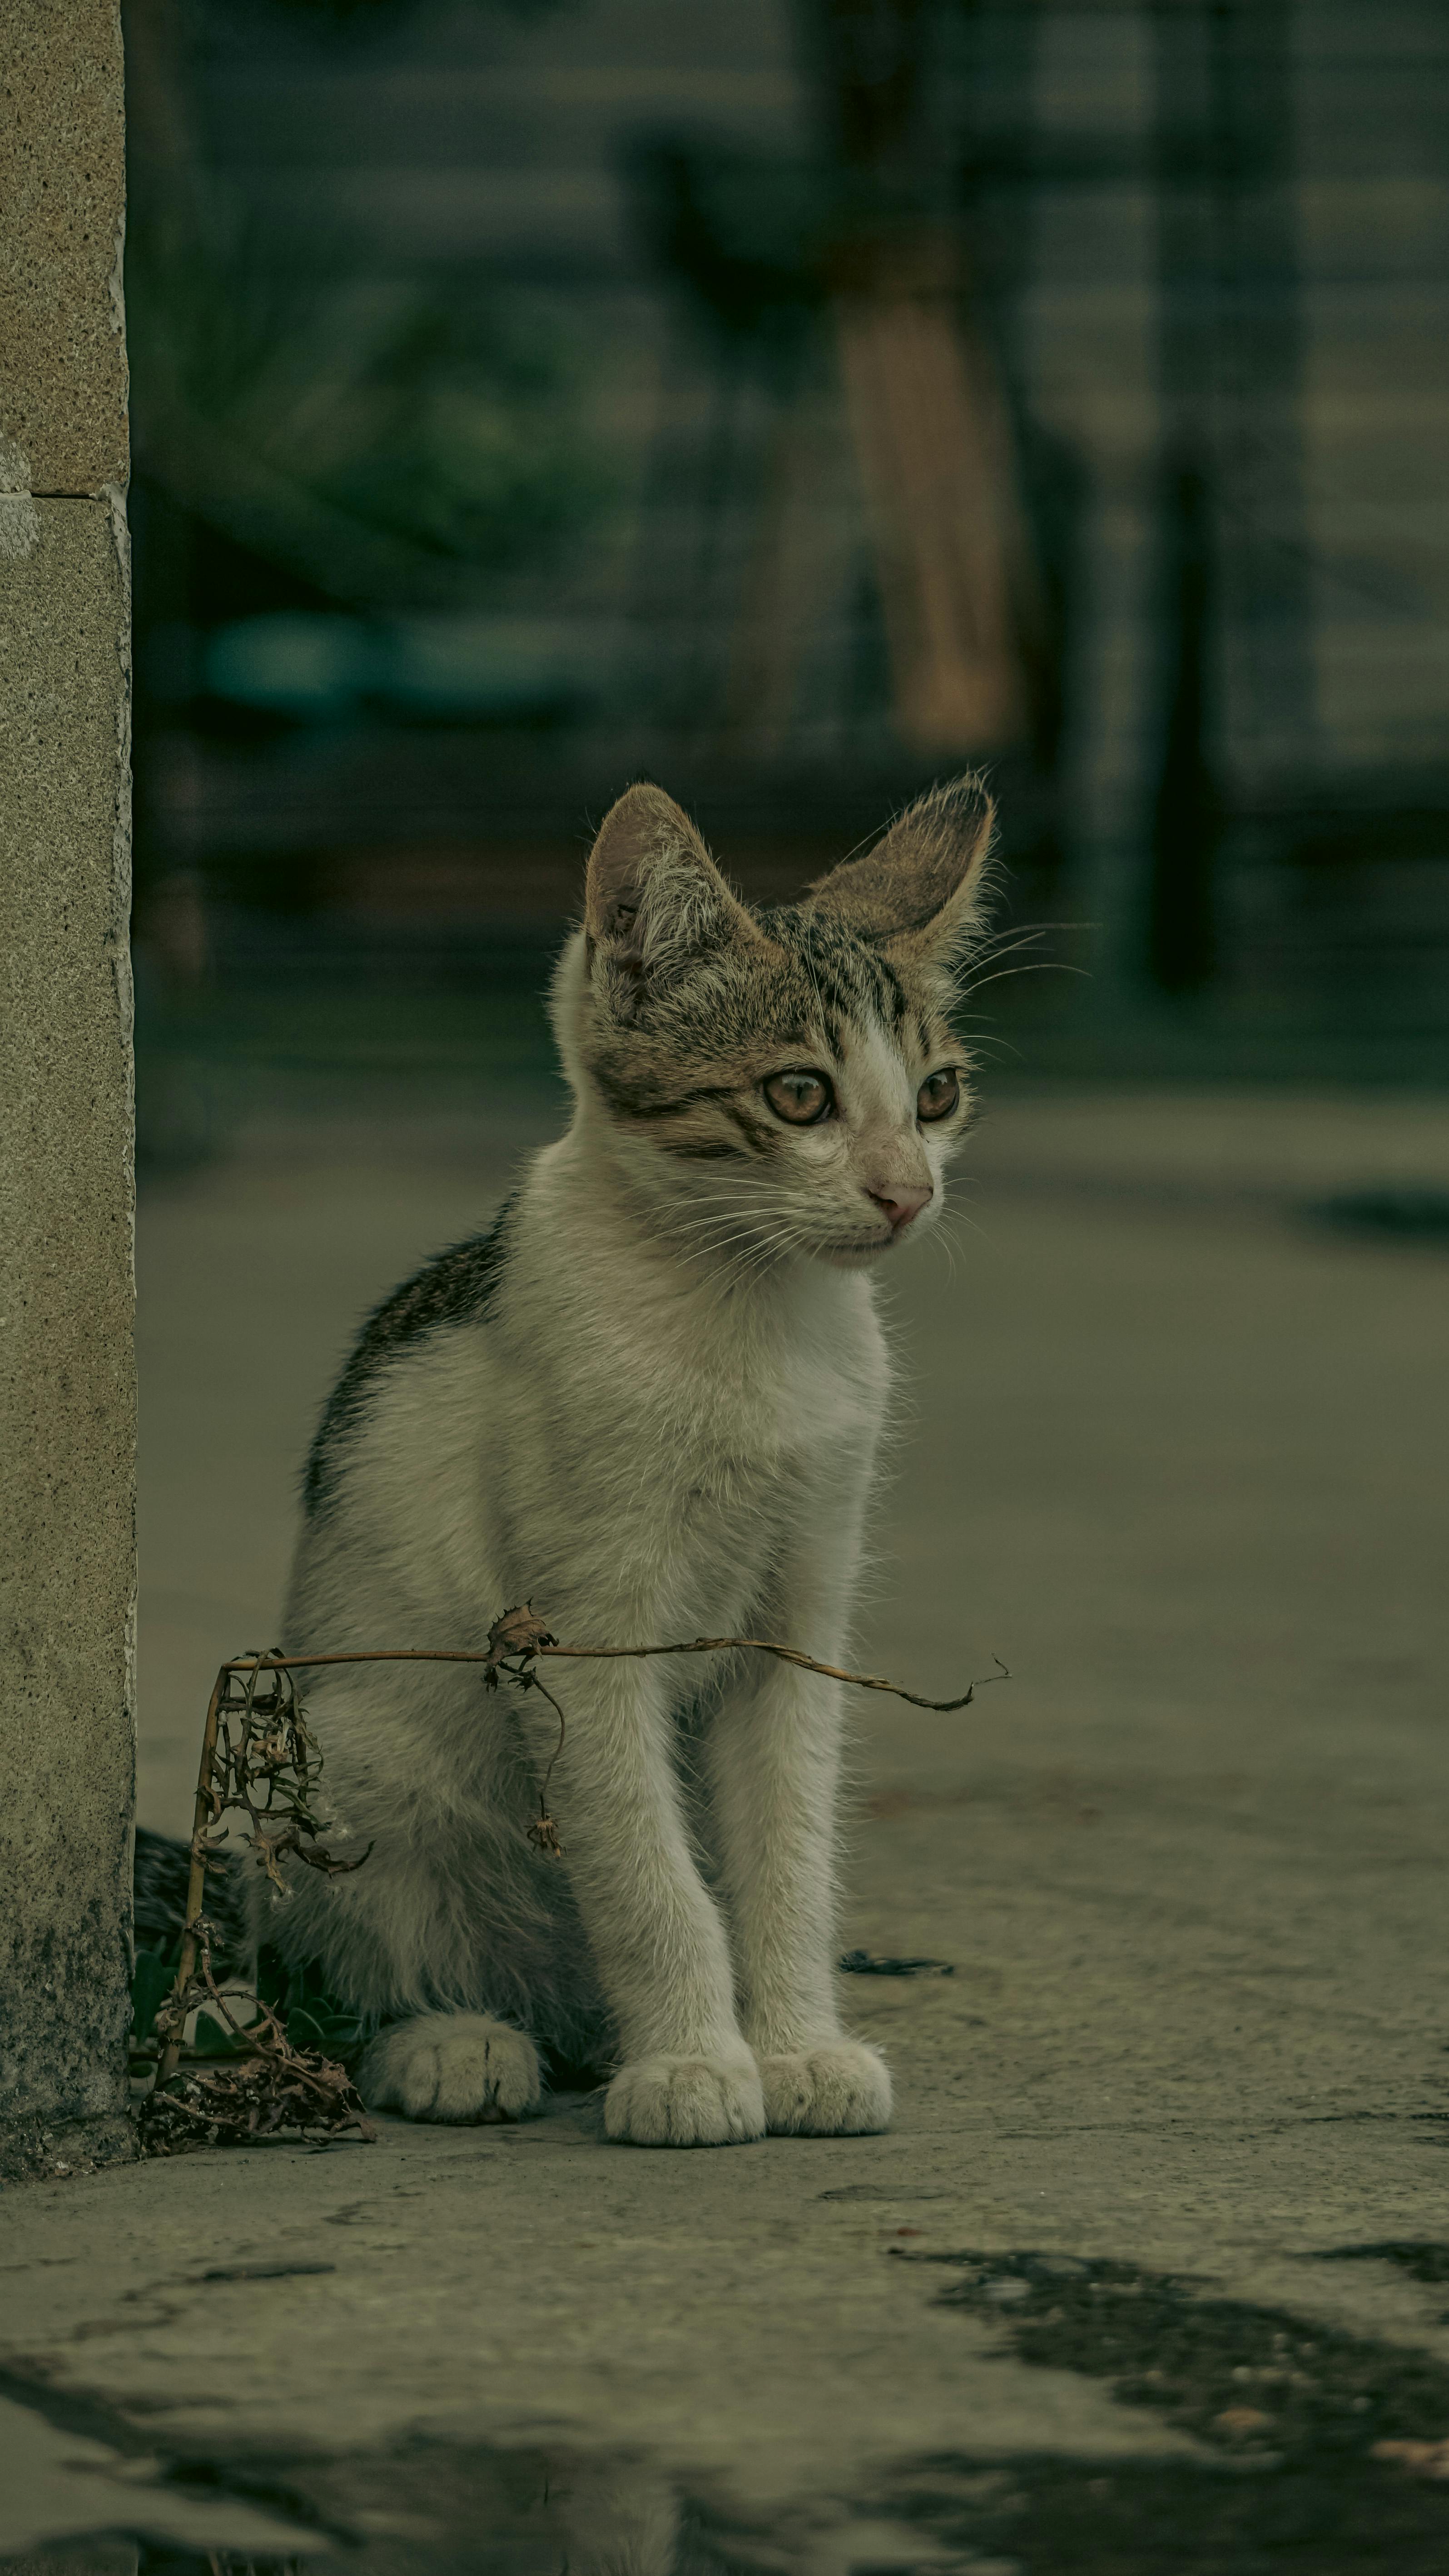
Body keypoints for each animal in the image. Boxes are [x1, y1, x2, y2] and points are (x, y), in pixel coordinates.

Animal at [243, 773, 993, 2143]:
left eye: (935, 1095)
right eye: (797, 1095)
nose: (905, 1193)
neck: (747, 1311)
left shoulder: (798, 1622)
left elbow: (785, 1855)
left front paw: (792, 2046)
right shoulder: (577, 1637)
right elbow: (646, 1871)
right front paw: (693, 2062)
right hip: (349, 1751)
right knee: (340, 1969)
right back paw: (452, 2039)